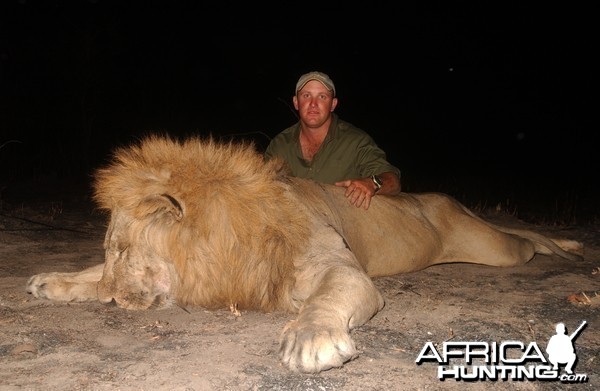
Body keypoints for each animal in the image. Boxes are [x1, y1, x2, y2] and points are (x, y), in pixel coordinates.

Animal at [25, 135, 584, 374]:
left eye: (125, 250)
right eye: (110, 251)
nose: (110, 302)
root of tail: (436, 197)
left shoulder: (340, 269)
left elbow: (325, 299)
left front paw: (310, 341)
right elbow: (85, 273)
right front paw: (53, 281)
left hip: (493, 248)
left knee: (525, 238)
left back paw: (572, 248)